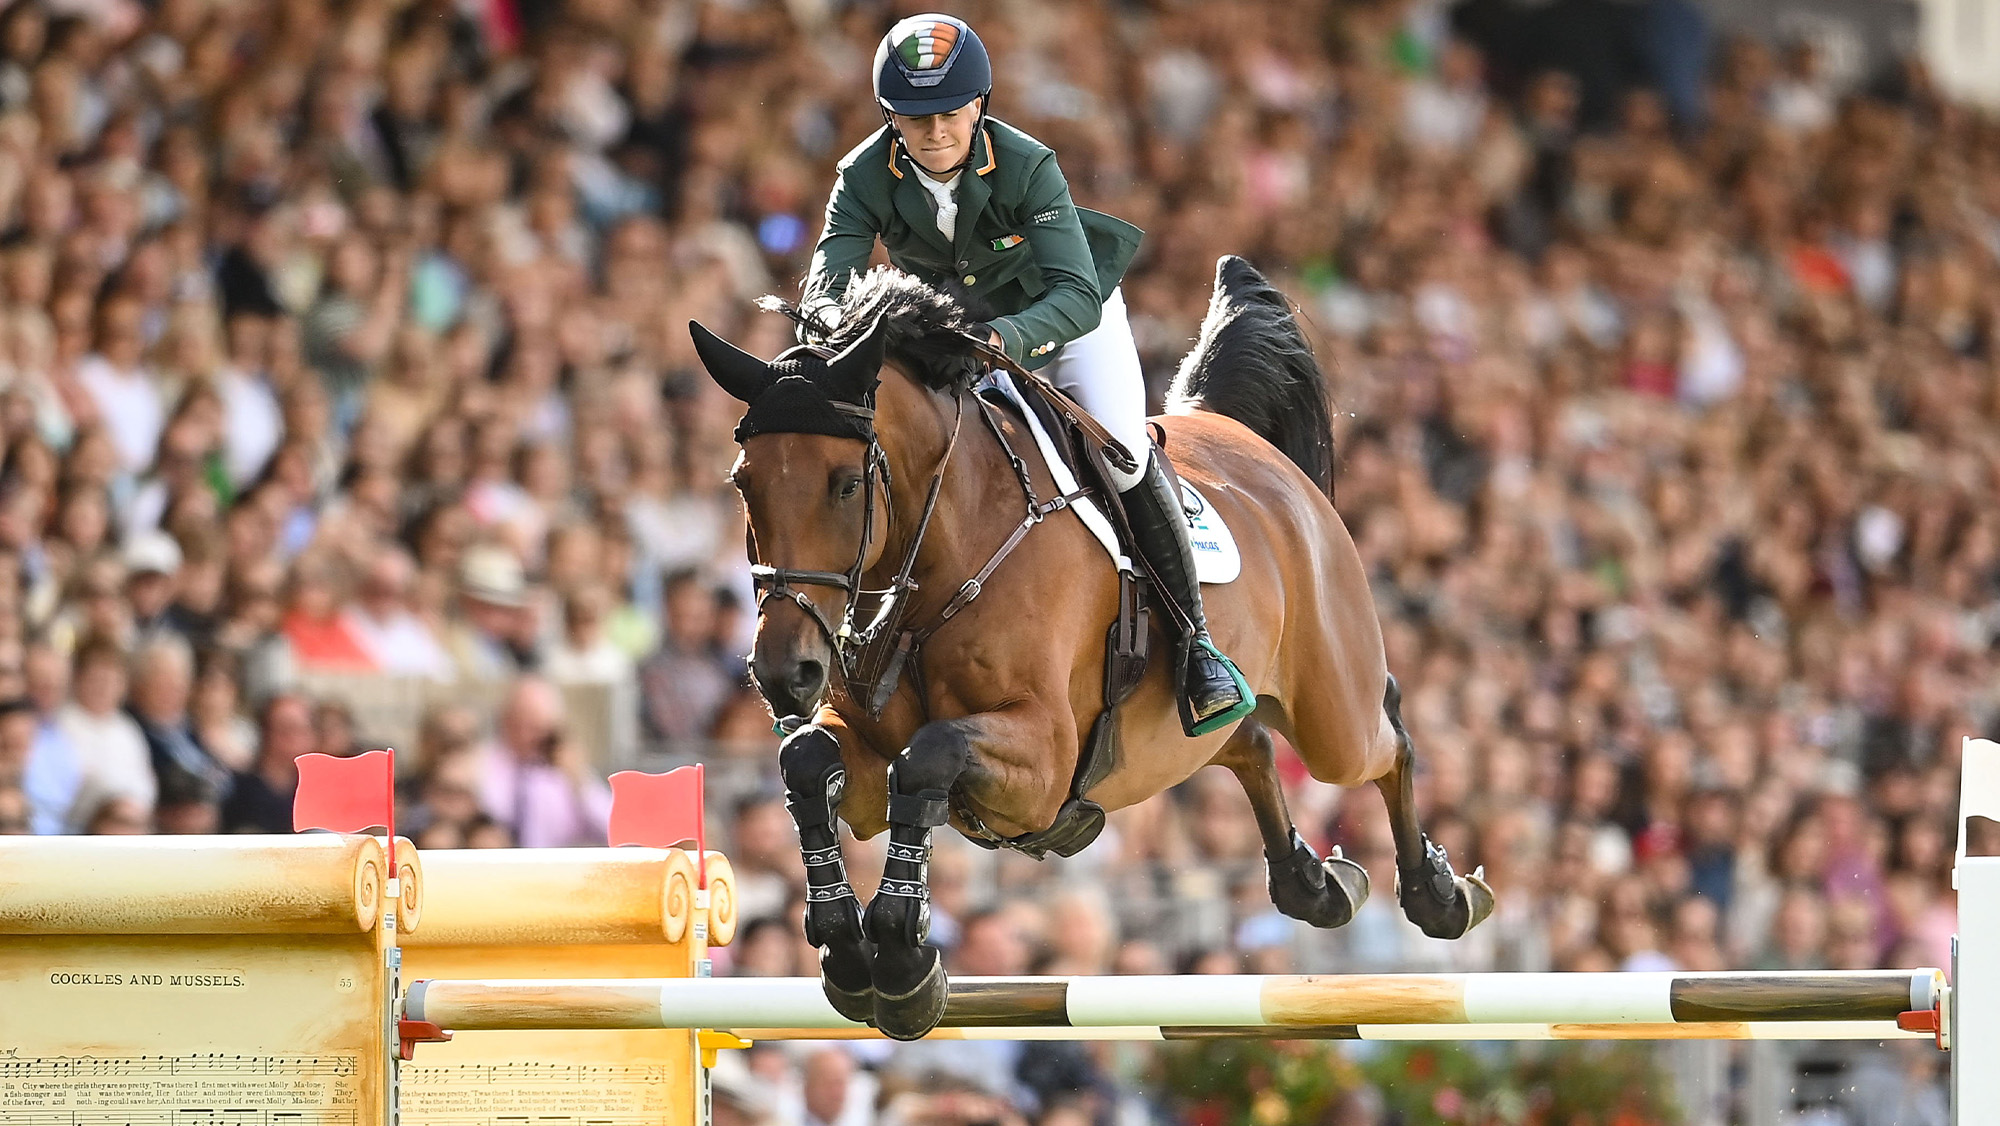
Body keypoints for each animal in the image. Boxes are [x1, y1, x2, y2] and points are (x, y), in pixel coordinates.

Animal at [689, 256, 1493, 1040]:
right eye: (743, 483)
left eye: (847, 484)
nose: (785, 673)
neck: (944, 550)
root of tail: (1243, 440)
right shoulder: (866, 753)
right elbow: (809, 761)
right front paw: (850, 953)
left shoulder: (1042, 761)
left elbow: (926, 759)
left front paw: (904, 959)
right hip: (1181, 734)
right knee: (1251, 743)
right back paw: (1314, 883)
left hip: (1332, 717)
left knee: (1386, 740)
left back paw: (1440, 895)